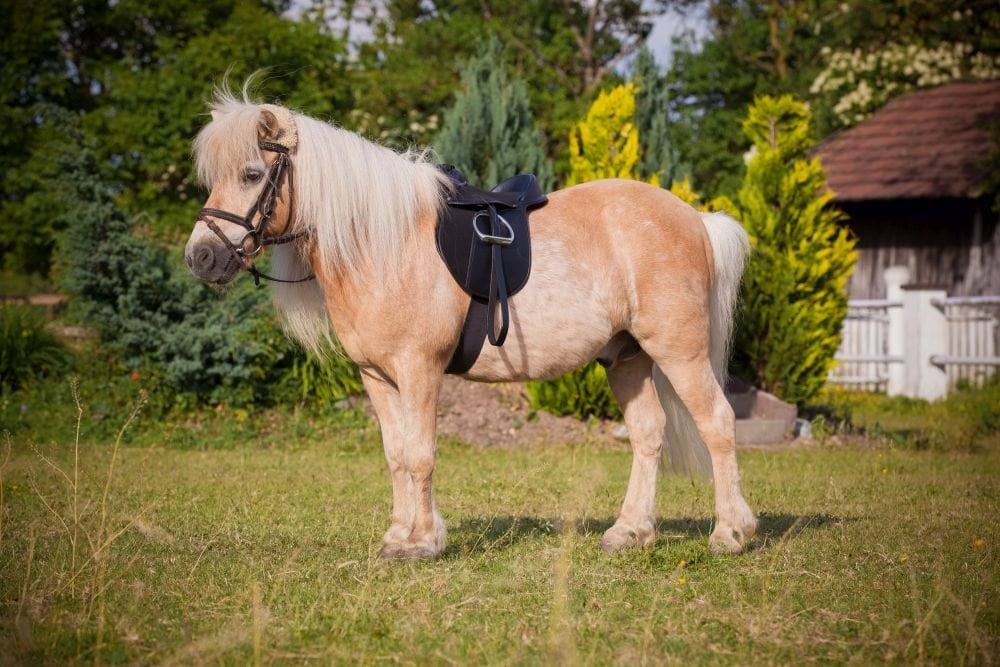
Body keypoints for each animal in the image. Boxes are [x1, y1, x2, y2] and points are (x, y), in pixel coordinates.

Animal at [184, 90, 758, 559]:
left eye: (252, 174)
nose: (202, 257)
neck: (385, 243)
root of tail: (696, 219)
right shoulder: (376, 376)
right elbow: (396, 455)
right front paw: (399, 536)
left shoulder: (419, 369)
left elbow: (420, 454)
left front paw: (421, 543)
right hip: (626, 357)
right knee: (647, 434)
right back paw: (630, 532)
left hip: (679, 352)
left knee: (717, 423)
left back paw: (730, 533)